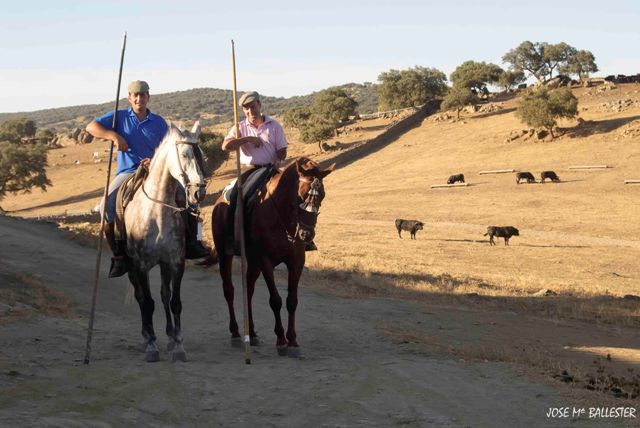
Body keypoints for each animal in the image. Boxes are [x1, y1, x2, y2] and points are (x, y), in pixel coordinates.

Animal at [124, 122, 204, 362]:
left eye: (200, 153)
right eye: (185, 154)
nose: (199, 191)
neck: (156, 213)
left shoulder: (175, 263)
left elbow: (174, 302)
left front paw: (178, 345)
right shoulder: (140, 266)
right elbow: (147, 303)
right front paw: (151, 346)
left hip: (164, 266)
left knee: (164, 294)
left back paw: (168, 336)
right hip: (132, 268)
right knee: (141, 297)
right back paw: (145, 337)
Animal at [212, 157, 336, 358]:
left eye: (322, 195)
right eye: (300, 196)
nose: (306, 234)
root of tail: (217, 204)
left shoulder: (296, 261)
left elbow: (292, 301)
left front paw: (292, 341)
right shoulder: (266, 260)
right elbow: (275, 301)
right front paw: (280, 341)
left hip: (253, 262)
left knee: (249, 290)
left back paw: (252, 333)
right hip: (226, 254)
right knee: (229, 290)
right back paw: (236, 333)